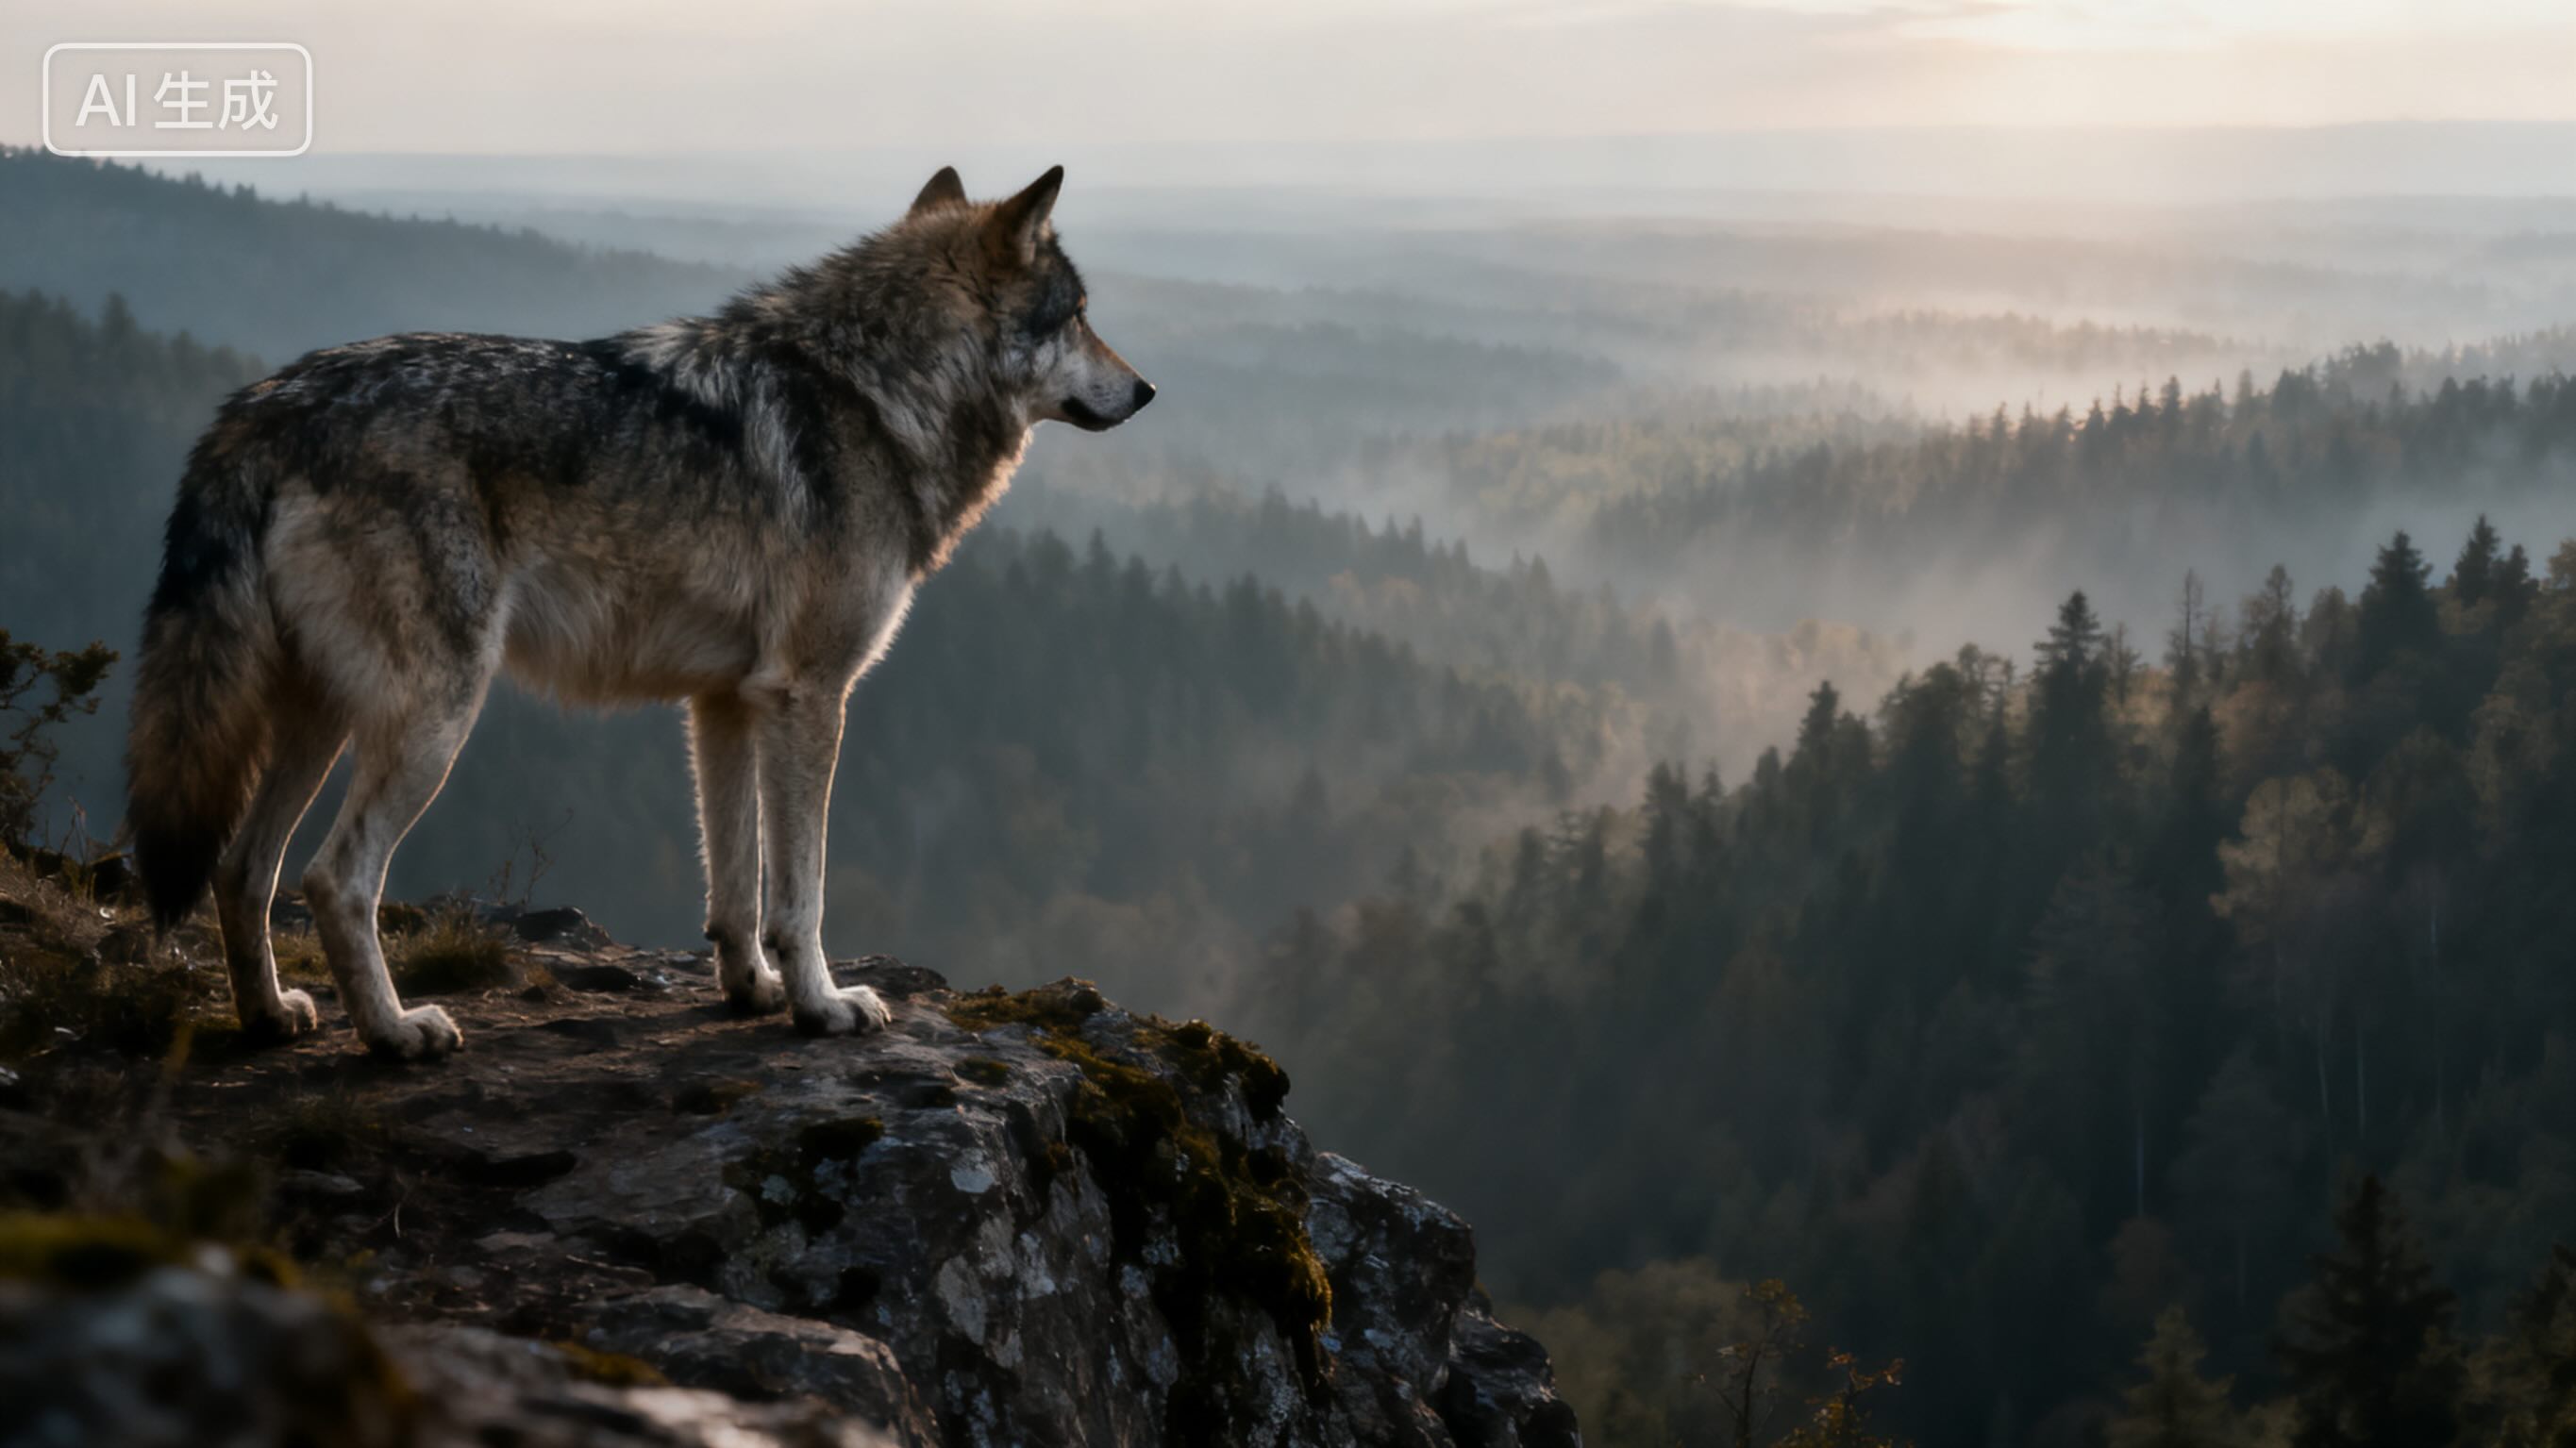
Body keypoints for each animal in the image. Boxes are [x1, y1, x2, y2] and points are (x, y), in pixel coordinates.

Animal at [122, 166, 1150, 1059]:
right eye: (1080, 315)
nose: (1145, 391)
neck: (876, 391)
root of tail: (263, 405)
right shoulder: (809, 695)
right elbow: (802, 891)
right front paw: (822, 1005)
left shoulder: (727, 702)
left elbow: (737, 886)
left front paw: (753, 992)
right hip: (433, 719)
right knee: (334, 878)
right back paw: (396, 1033)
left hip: (324, 715)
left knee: (241, 866)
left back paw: (269, 1018)